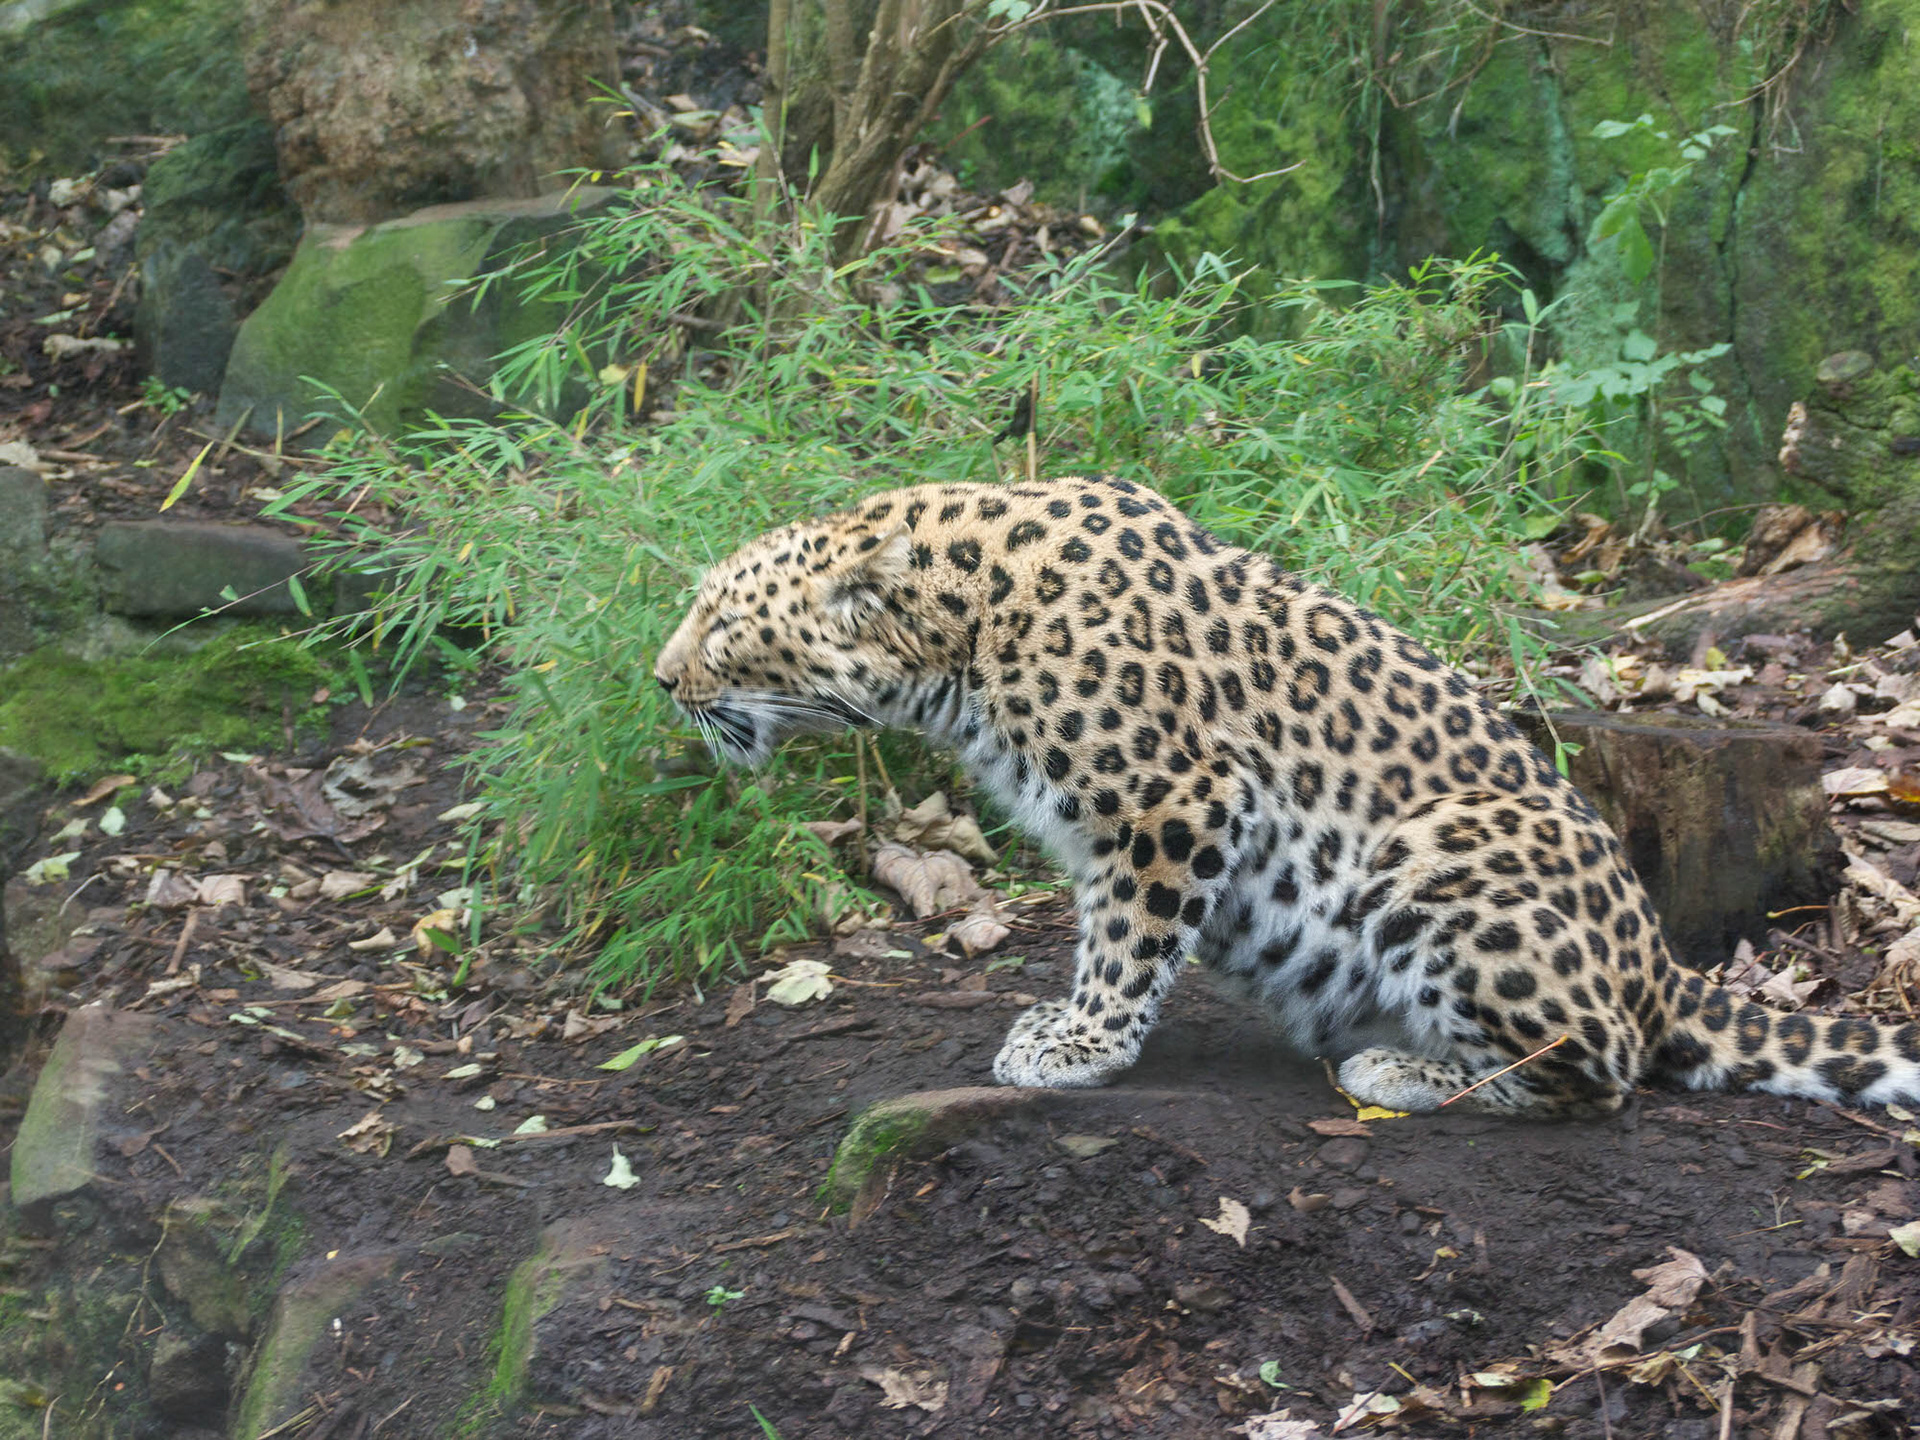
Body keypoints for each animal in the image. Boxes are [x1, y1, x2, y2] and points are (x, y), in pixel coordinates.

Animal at [654, 474, 1920, 1118]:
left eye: (720, 623)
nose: (661, 680)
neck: (960, 634)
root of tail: (1661, 966)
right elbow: (1100, 927)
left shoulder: (1173, 799)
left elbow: (1125, 940)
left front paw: (1080, 1044)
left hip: (1441, 858)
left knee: (1600, 1067)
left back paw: (1403, 1071)